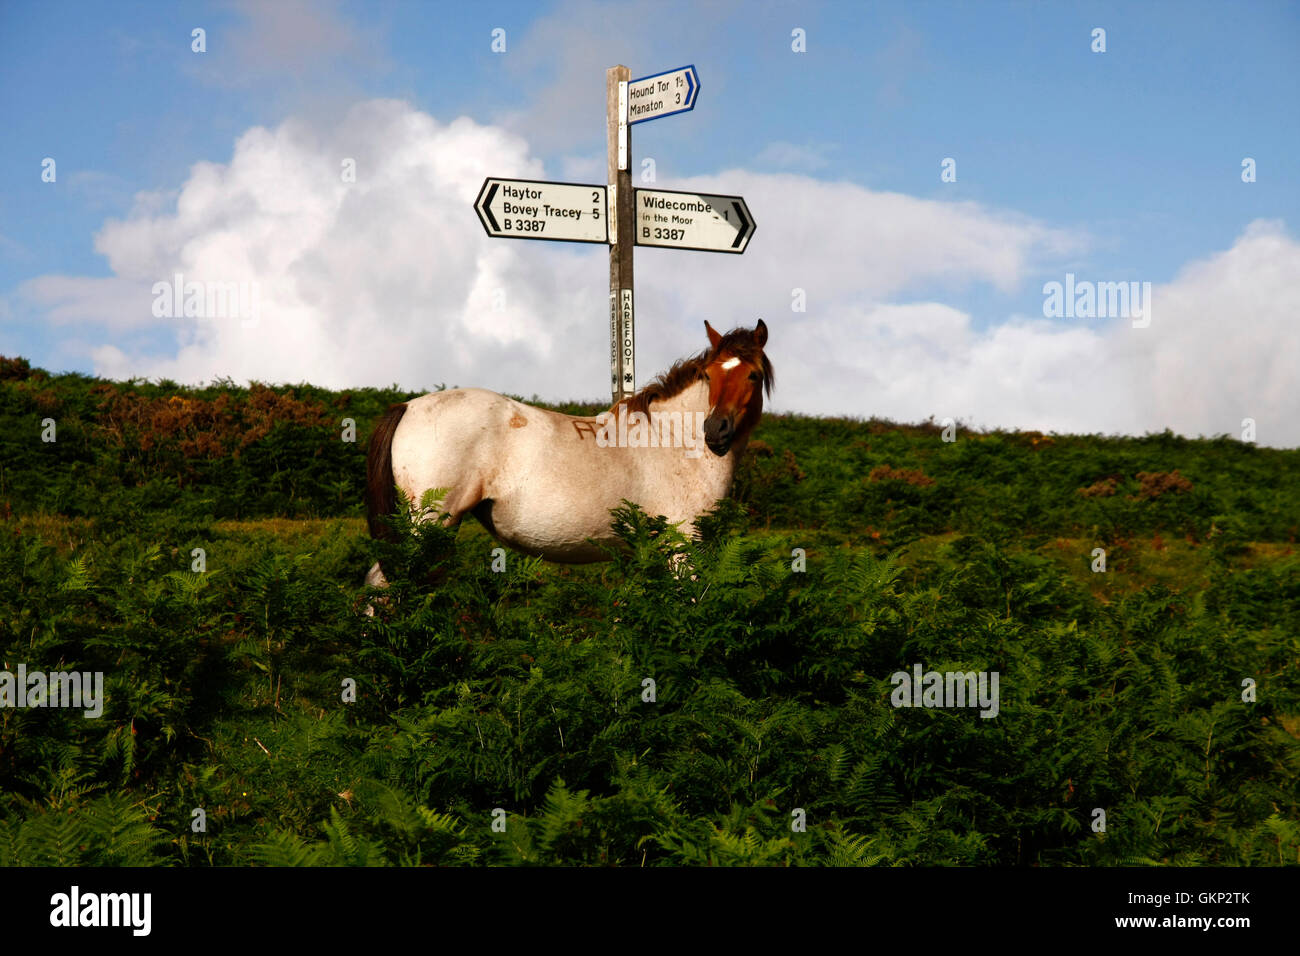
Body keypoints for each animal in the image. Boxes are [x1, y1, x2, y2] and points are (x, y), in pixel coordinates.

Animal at [363, 319, 772, 590]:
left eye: (752, 375)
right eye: (709, 375)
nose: (715, 431)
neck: (673, 439)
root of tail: (408, 406)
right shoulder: (683, 545)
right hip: (428, 525)